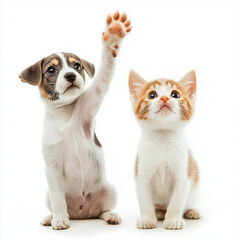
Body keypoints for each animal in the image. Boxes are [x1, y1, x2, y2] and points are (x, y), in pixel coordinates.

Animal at [18, 11, 131, 231]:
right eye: (51, 70)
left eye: (77, 66)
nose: (71, 75)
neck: (63, 113)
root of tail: (82, 214)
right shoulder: (52, 168)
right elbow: (58, 200)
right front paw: (60, 219)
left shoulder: (91, 103)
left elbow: (103, 77)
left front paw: (113, 36)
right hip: (48, 194)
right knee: (58, 205)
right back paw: (51, 217)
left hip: (110, 190)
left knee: (101, 211)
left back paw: (110, 215)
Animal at [129, 70, 201, 230]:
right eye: (152, 95)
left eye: (175, 94)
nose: (164, 98)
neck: (163, 137)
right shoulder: (142, 172)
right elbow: (145, 200)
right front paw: (147, 218)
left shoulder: (183, 174)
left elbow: (177, 201)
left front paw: (173, 219)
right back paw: (160, 212)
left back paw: (191, 211)